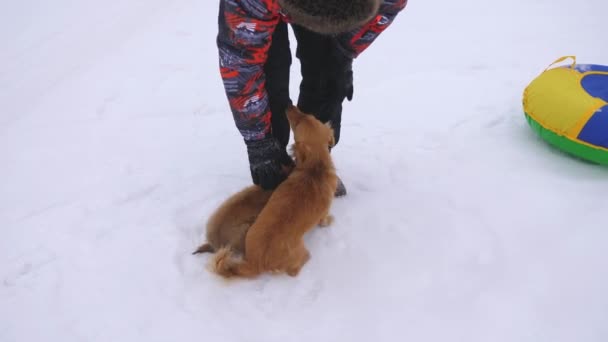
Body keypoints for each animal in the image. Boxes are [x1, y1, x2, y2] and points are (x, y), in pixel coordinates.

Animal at [213, 106, 338, 278]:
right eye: (297, 124)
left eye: (308, 115)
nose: (289, 105)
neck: (314, 168)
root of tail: (255, 262)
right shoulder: (323, 213)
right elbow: (324, 220)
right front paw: (330, 220)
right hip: (299, 252)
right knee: (294, 270)